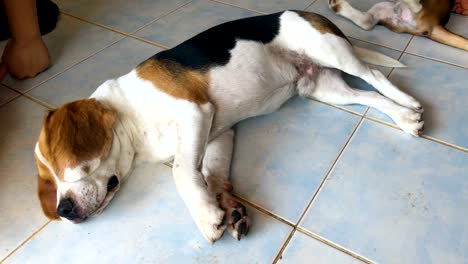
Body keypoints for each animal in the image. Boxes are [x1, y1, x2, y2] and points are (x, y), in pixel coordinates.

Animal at [33, 11, 424, 243]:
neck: (131, 115)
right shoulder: (218, 133)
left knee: (374, 76)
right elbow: (211, 174)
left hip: (330, 52)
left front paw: (206, 215)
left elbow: (180, 171)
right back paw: (404, 118)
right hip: (323, 88)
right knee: (369, 97)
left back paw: (409, 102)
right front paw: (226, 205)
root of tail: (308, 11)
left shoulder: (194, 112)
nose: (63, 211)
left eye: (61, 162)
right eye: (47, 179)